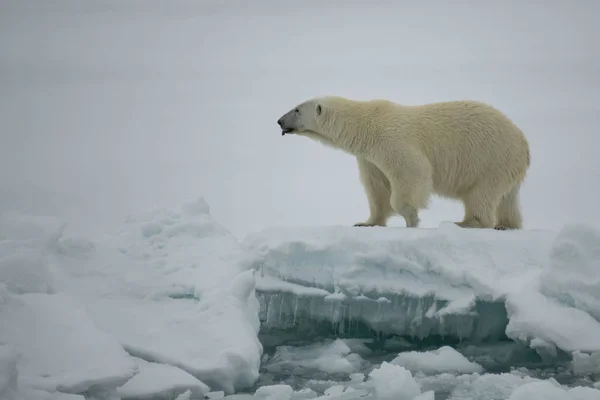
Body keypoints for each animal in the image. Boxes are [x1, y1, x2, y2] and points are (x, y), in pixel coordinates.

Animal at [276, 95, 528, 230]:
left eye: (297, 109)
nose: (279, 121)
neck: (365, 127)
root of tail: (524, 144)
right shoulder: (369, 158)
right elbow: (377, 189)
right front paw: (366, 223)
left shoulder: (392, 140)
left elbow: (412, 172)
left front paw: (411, 218)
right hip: (506, 167)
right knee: (507, 198)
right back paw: (506, 224)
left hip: (491, 159)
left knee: (481, 194)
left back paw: (466, 223)